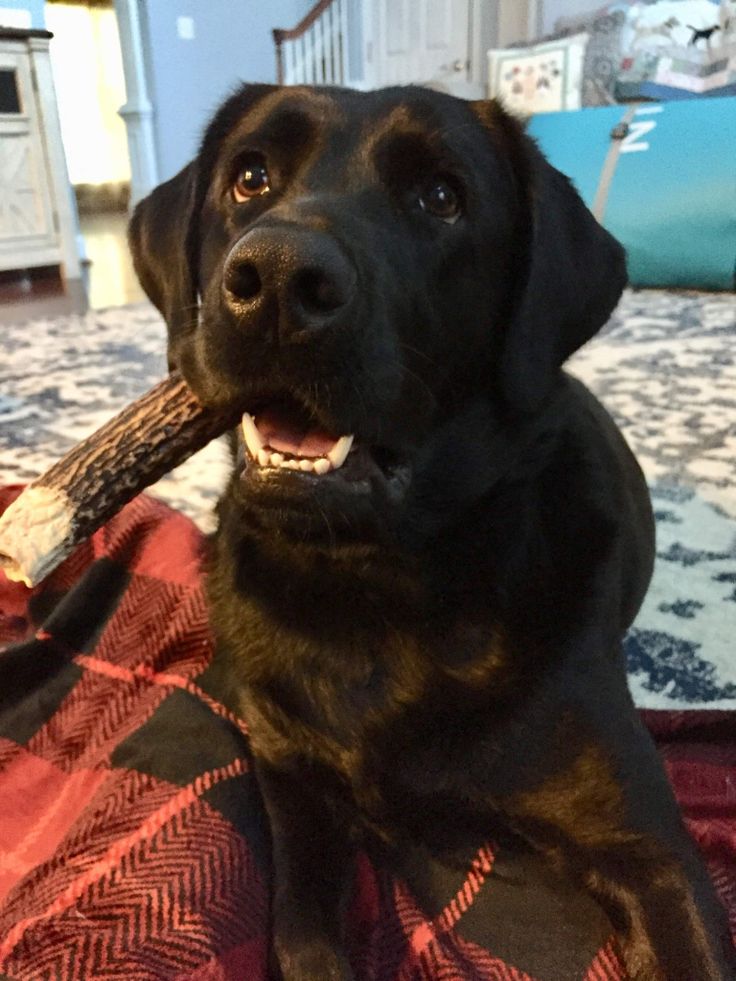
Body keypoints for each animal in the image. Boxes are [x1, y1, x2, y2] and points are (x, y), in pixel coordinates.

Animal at [128, 86, 736, 980]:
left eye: (441, 197)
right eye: (250, 176)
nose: (276, 277)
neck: (371, 585)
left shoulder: (652, 853)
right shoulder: (291, 780)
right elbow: (304, 934)